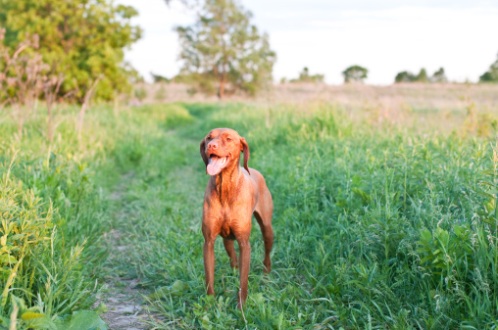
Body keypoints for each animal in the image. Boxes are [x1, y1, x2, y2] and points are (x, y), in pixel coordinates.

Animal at [200, 128, 274, 306]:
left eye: (228, 139)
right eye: (209, 138)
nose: (211, 146)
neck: (226, 187)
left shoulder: (244, 243)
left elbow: (243, 282)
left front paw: (242, 308)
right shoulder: (208, 243)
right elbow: (209, 279)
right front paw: (210, 305)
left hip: (267, 229)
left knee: (267, 254)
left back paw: (266, 275)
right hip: (227, 239)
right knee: (232, 258)